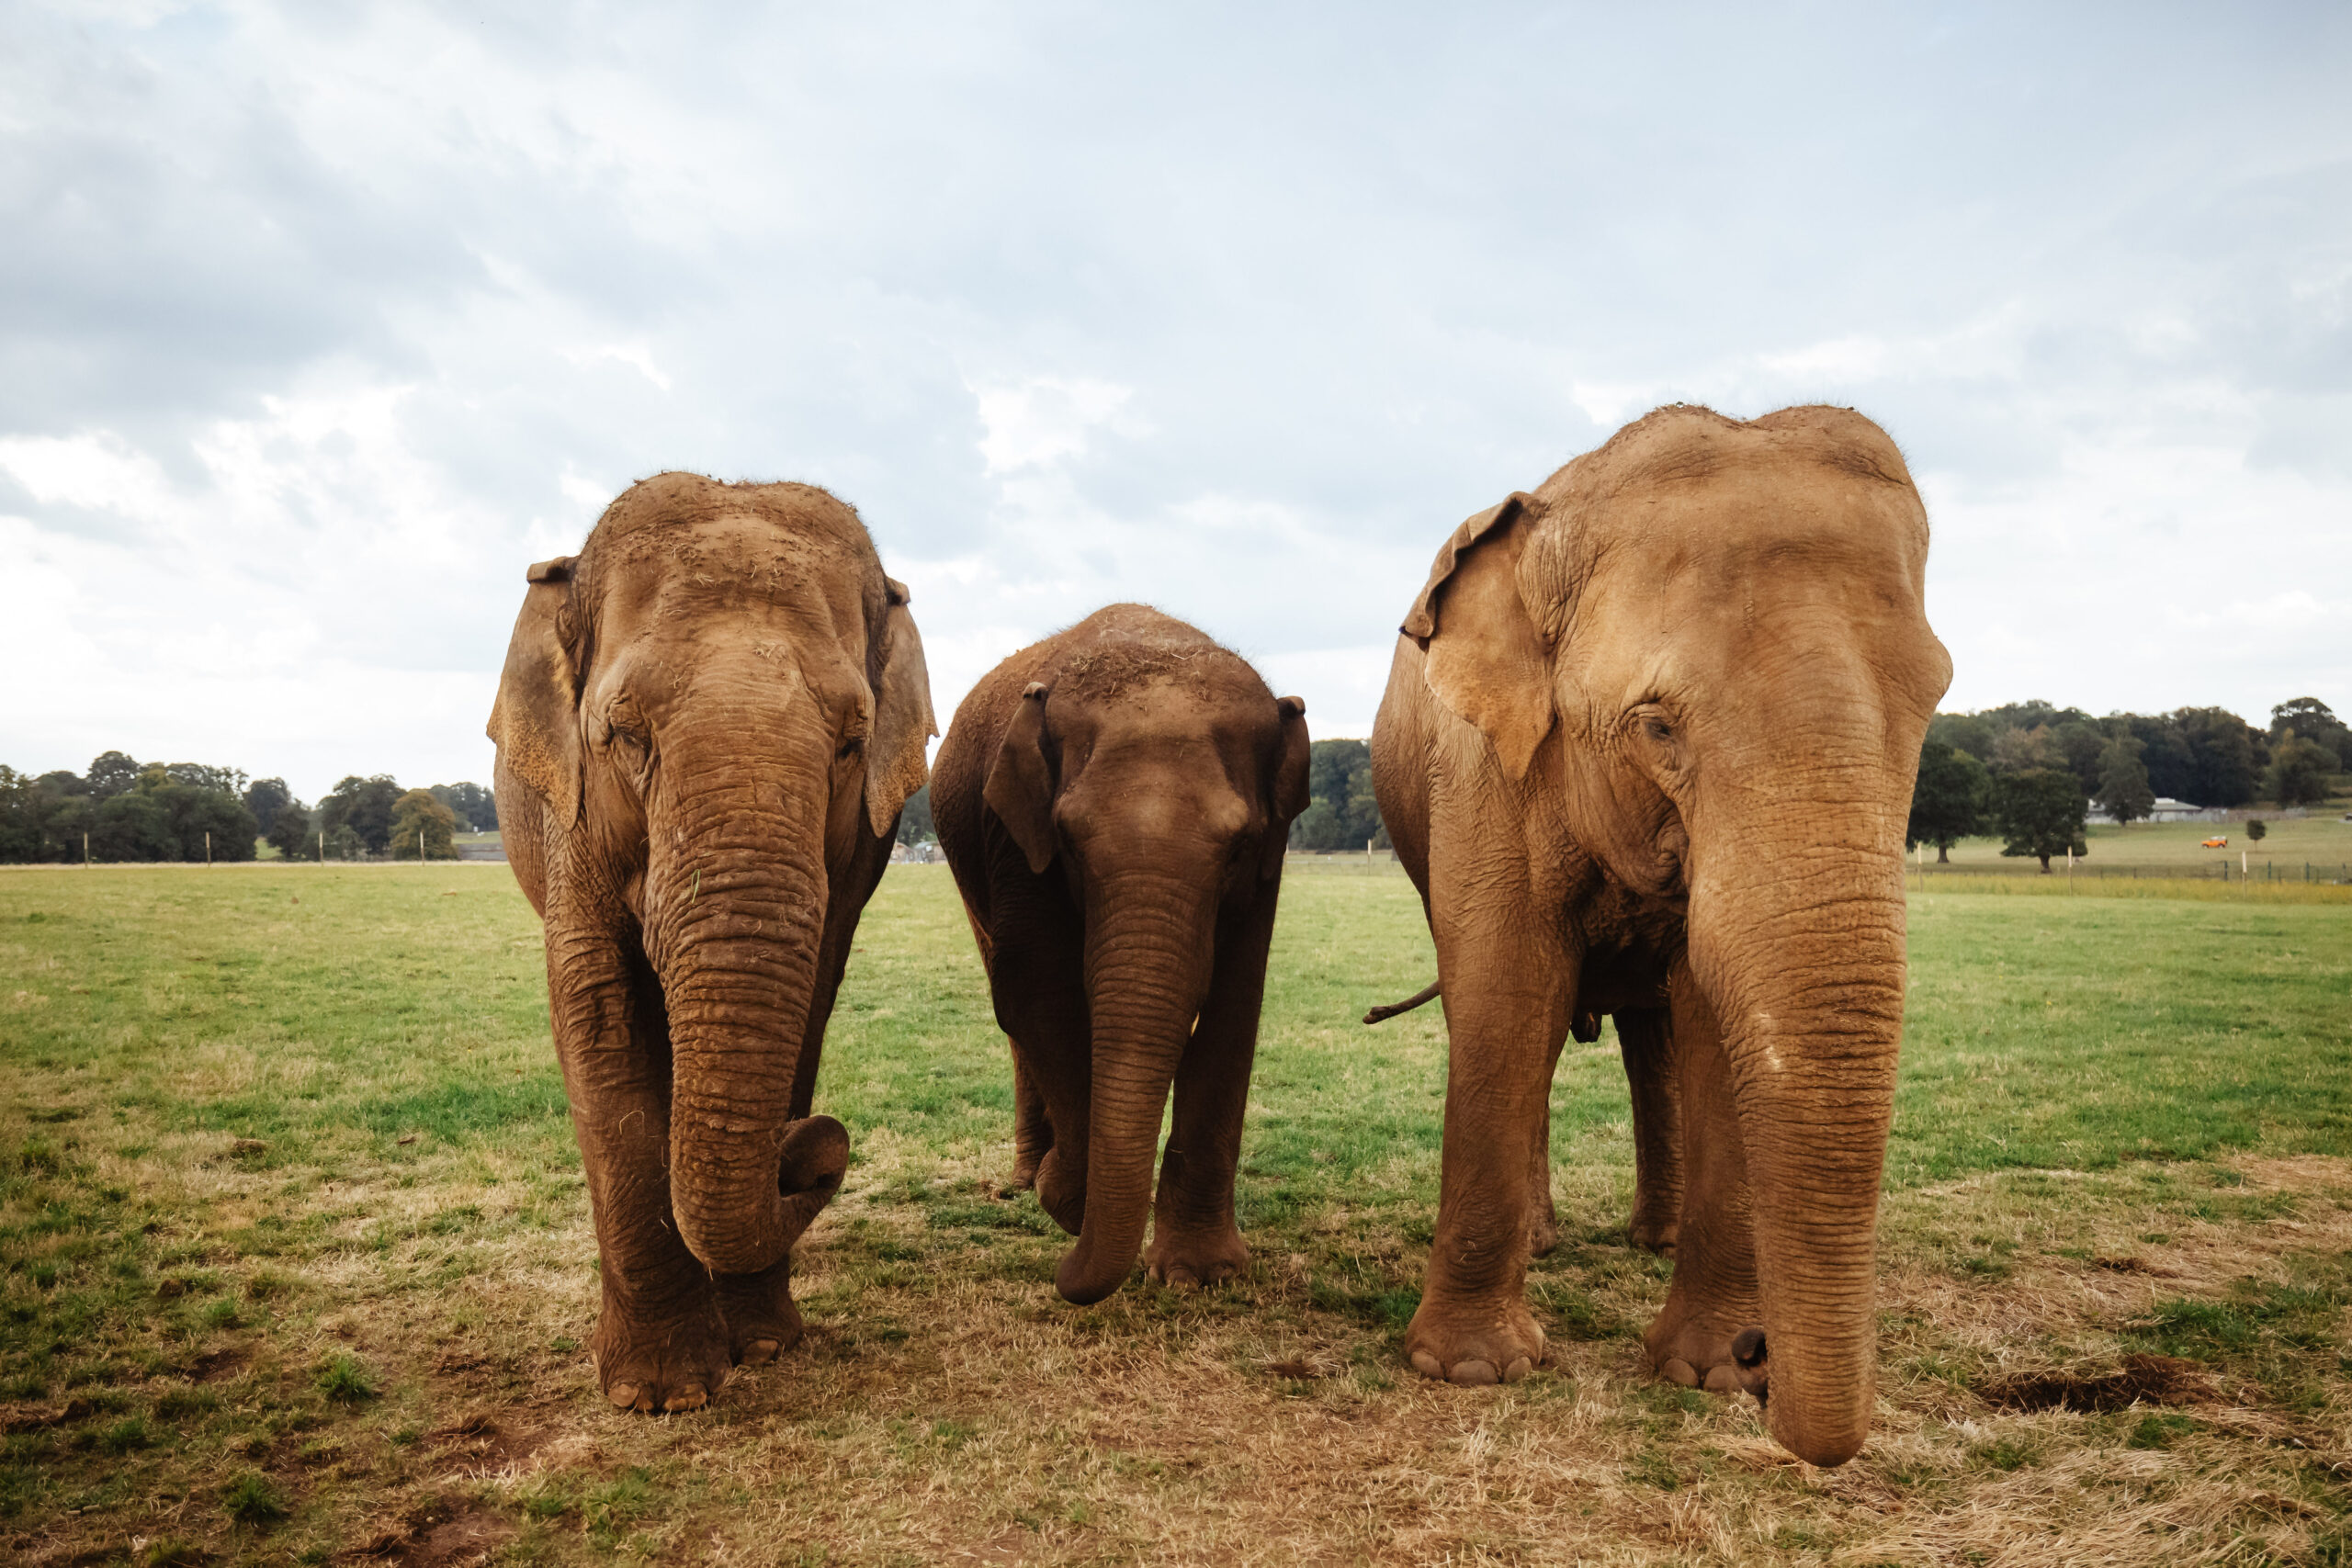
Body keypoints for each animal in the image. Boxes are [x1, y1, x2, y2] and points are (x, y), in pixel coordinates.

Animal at [489, 472, 935, 1419]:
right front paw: (661, 1394)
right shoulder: (570, 819)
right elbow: (599, 1016)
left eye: (853, 741)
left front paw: (765, 1345)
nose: (813, 1149)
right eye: (623, 734)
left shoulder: (848, 870)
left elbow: (805, 1010)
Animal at [926, 606, 1317, 1306]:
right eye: (1070, 842)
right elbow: (1037, 992)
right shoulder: (1014, 836)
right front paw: (1065, 1200)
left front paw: (1198, 1275)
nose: (1064, 1275)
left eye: (1239, 846)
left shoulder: (1272, 856)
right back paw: (1025, 1180)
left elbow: (1236, 1007)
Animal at [1363, 409, 1947, 1476]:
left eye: (1930, 710)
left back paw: (1656, 1240)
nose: (1764, 1354)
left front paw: (1705, 1373)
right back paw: (1546, 1245)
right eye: (1657, 726)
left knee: (1656, 1036)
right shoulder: (1482, 769)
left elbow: (1710, 1010)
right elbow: (1507, 993)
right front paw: (1469, 1373)